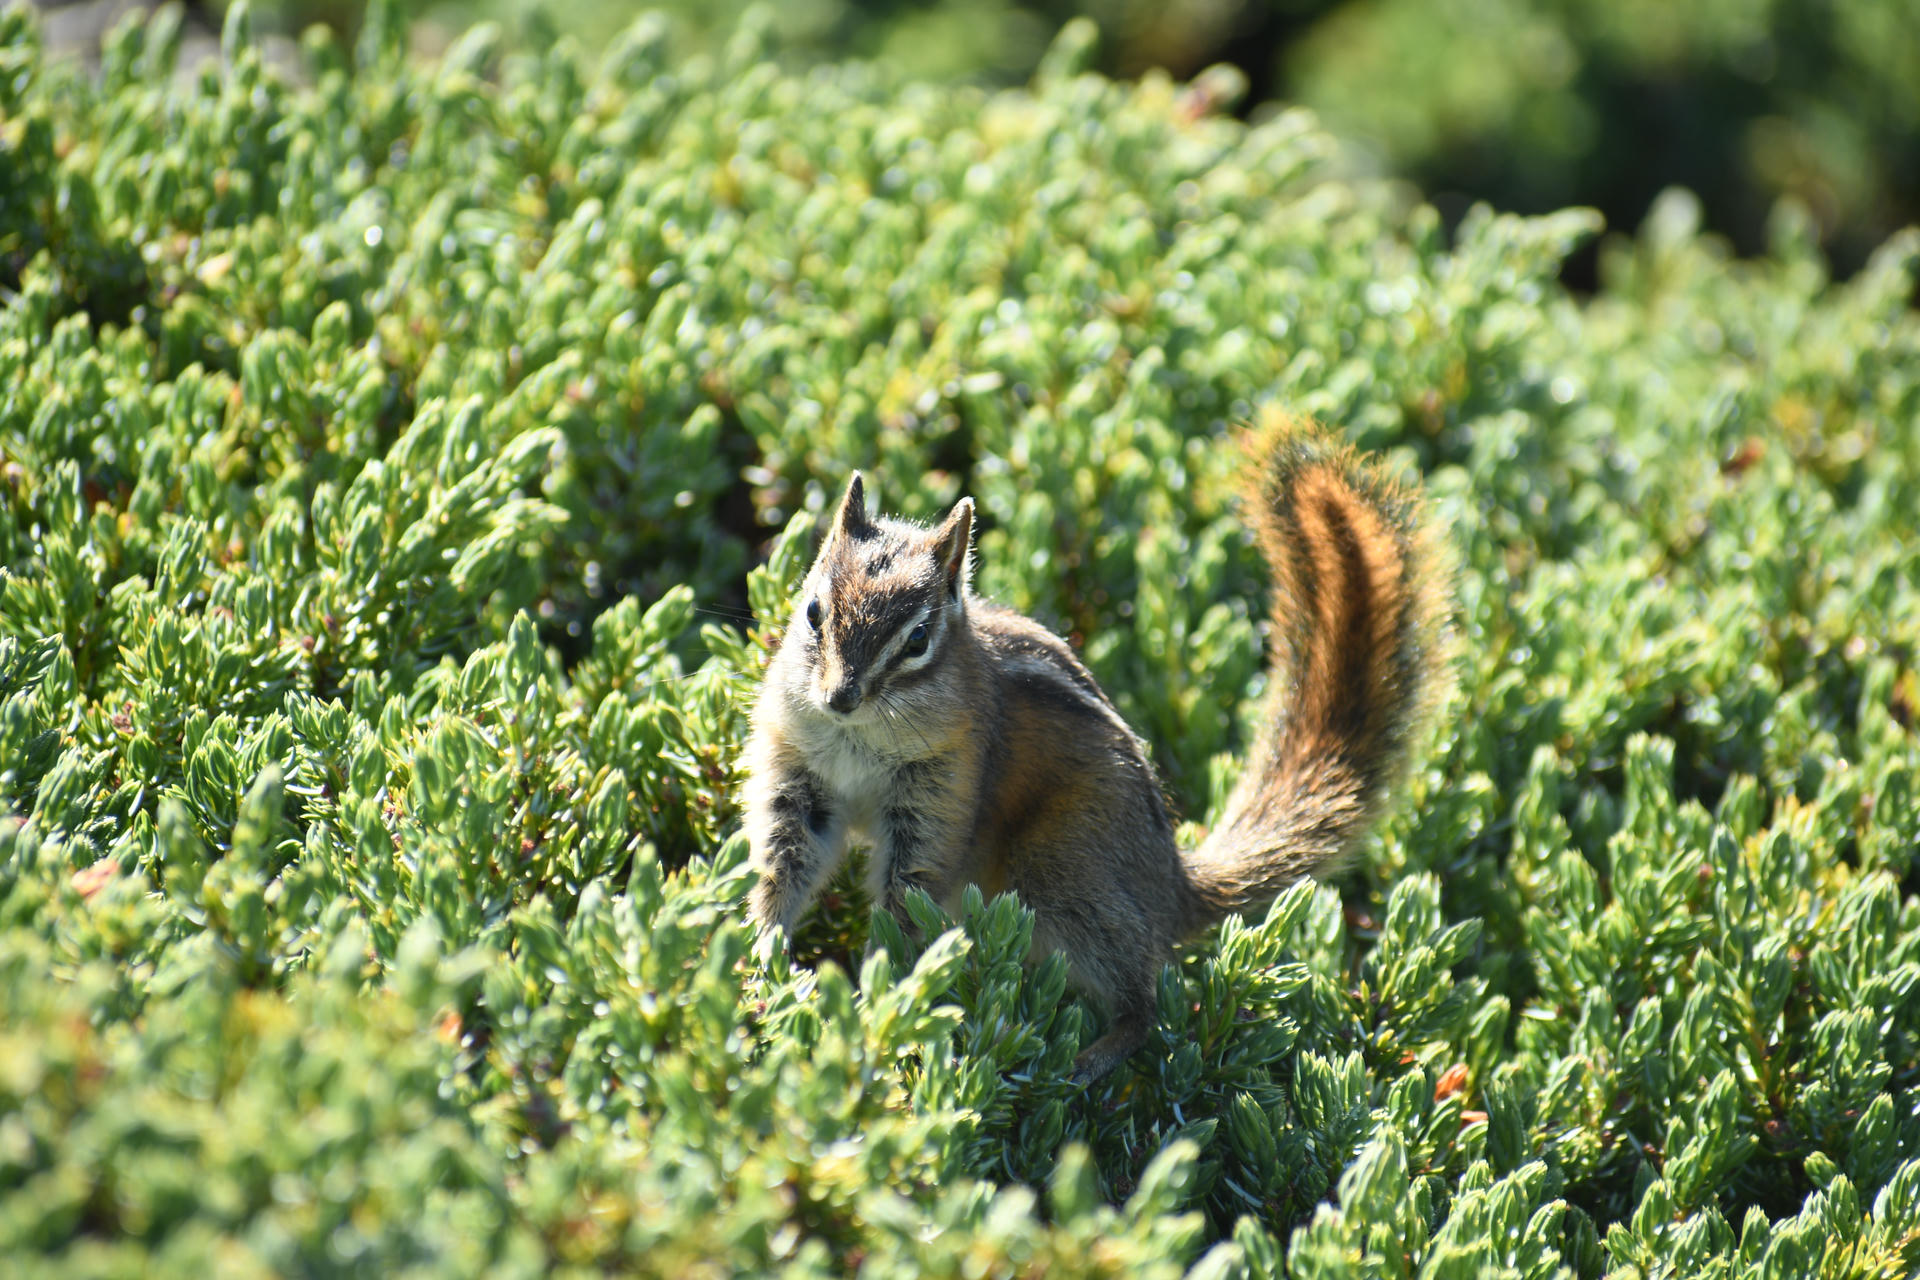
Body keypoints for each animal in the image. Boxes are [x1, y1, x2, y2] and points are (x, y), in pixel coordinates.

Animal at [740, 415, 1451, 1084]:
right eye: (812, 612)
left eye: (917, 640)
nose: (840, 697)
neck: (856, 737)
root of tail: (1172, 884)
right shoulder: (798, 777)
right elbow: (785, 862)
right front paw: (763, 959)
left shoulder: (936, 795)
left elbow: (904, 903)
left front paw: (873, 1001)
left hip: (1060, 866)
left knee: (1144, 1002)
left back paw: (1088, 1059)